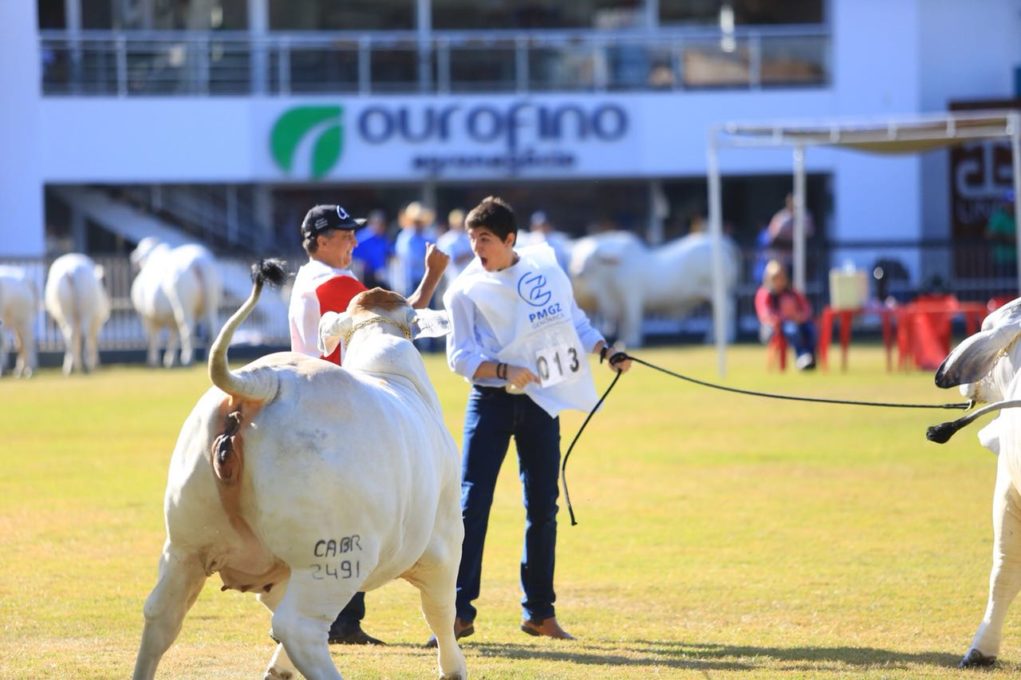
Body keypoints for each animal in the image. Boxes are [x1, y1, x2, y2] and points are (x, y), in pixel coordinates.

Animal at [130, 236, 222, 367]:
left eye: (140, 248)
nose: (132, 258)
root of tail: (199, 262)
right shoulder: (171, 318)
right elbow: (173, 336)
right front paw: (170, 359)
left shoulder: (147, 315)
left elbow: (153, 337)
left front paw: (154, 359)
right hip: (211, 299)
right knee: (212, 328)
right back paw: (207, 358)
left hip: (184, 302)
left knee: (187, 328)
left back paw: (187, 358)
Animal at [134, 259, 467, 677]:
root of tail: (264, 381)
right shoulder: (445, 543)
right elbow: (440, 611)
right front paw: (453, 669)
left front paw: (279, 667)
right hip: (333, 558)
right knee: (300, 627)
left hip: (185, 545)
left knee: (162, 614)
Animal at [567, 230, 743, 347]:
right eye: (577, 255)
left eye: (592, 258)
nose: (578, 271)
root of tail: (722, 244)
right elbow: (624, 323)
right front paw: (622, 341)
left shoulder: (632, 297)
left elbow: (632, 320)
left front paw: (632, 342)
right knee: (717, 314)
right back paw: (713, 338)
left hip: (718, 292)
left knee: (727, 310)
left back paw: (726, 337)